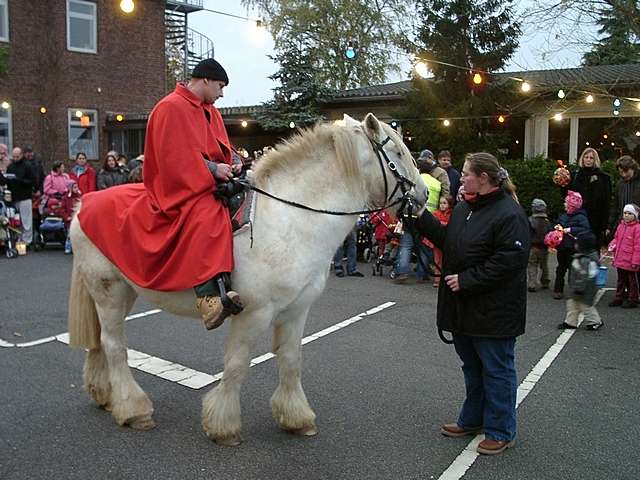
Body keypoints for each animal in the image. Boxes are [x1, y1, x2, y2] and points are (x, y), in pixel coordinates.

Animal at [67, 112, 424, 446]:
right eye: (398, 151)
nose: (422, 196)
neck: (291, 221)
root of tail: (83, 205)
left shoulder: (296, 311)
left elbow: (291, 360)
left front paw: (296, 418)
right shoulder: (255, 313)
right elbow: (238, 364)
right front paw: (223, 426)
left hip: (123, 293)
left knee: (100, 342)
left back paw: (104, 395)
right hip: (110, 294)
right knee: (114, 346)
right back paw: (133, 410)